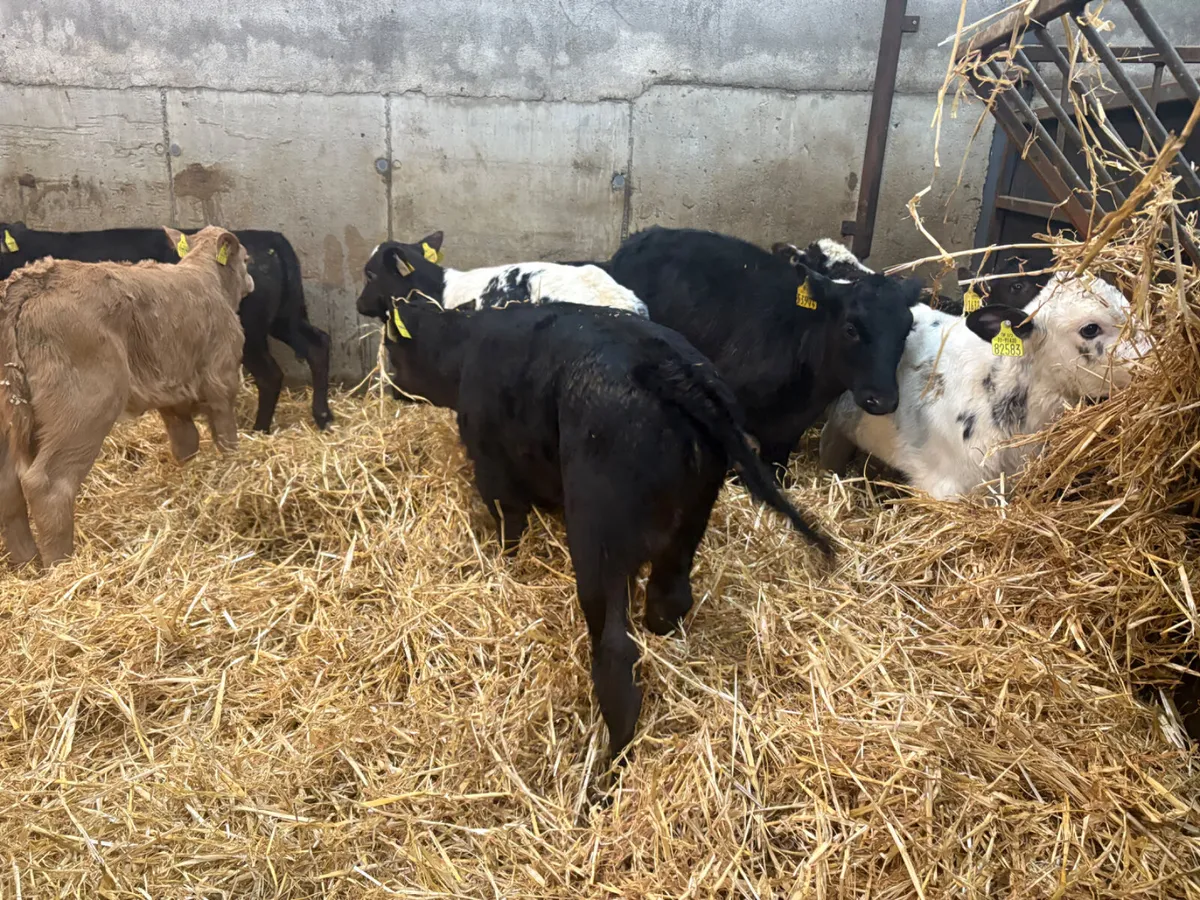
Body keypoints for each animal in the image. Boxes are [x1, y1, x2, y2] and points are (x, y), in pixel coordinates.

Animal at [0, 221, 332, 433]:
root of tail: (273, 239)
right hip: (285, 317)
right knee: (317, 344)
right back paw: (323, 416)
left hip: (251, 331)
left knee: (270, 374)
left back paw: (260, 429)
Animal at [0, 226, 252, 568]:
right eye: (247, 260)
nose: (251, 280)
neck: (206, 278)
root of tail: (32, 280)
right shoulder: (222, 382)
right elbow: (227, 440)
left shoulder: (172, 398)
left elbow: (186, 444)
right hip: (83, 410)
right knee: (48, 485)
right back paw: (62, 566)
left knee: (7, 484)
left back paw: (26, 563)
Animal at [355, 256, 833, 762]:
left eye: (391, 347)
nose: (390, 388)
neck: (467, 347)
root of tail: (667, 367)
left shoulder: (493, 469)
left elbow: (509, 525)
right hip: (686, 527)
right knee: (669, 598)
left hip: (597, 541)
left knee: (615, 653)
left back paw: (608, 762)